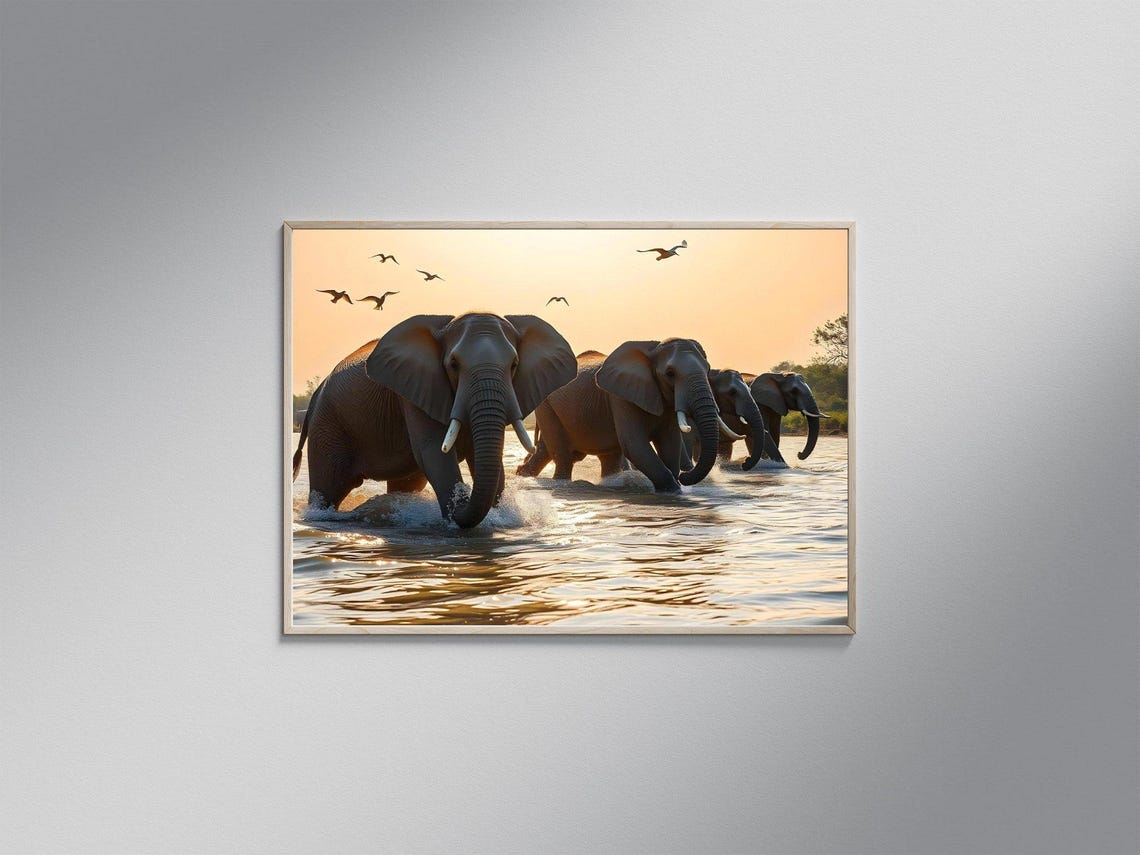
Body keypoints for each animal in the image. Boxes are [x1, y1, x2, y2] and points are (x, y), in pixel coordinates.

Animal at [292, 313, 576, 528]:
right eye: (453, 364)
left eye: (514, 365)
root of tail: (317, 392)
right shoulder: (415, 391)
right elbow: (433, 451)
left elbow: (480, 455)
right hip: (328, 426)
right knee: (329, 487)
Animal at [517, 339, 750, 492]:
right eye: (670, 374)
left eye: (708, 369)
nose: (685, 476)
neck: (653, 349)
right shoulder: (619, 398)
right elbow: (635, 445)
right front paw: (673, 489)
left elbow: (670, 443)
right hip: (547, 407)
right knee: (563, 456)